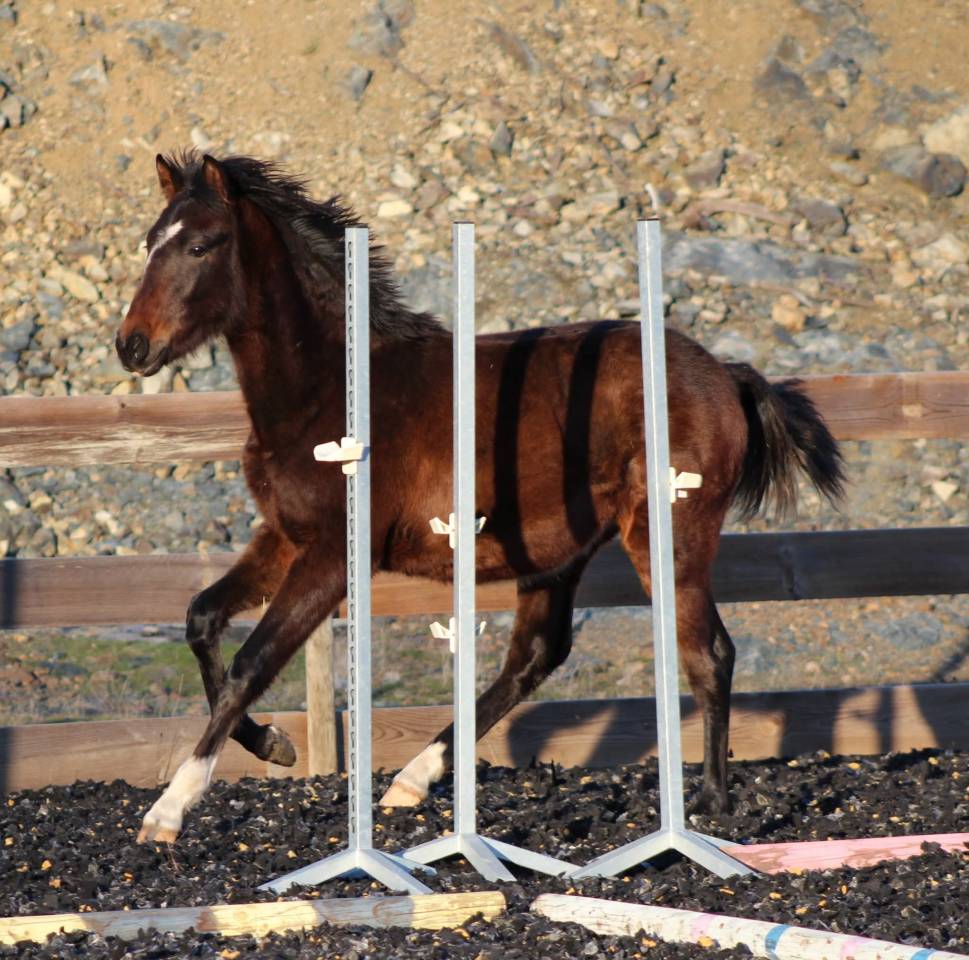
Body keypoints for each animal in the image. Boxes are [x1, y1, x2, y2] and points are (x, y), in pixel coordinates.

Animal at [116, 152, 844, 844]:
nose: (132, 346)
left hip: (669, 531)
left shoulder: (330, 557)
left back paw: (710, 807)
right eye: (150, 240)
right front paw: (273, 744)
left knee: (707, 652)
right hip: (559, 553)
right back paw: (412, 779)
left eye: (200, 245)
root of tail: (725, 373)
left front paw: (169, 809)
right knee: (536, 657)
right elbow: (202, 619)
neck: (325, 390)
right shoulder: (285, 537)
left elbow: (253, 663)